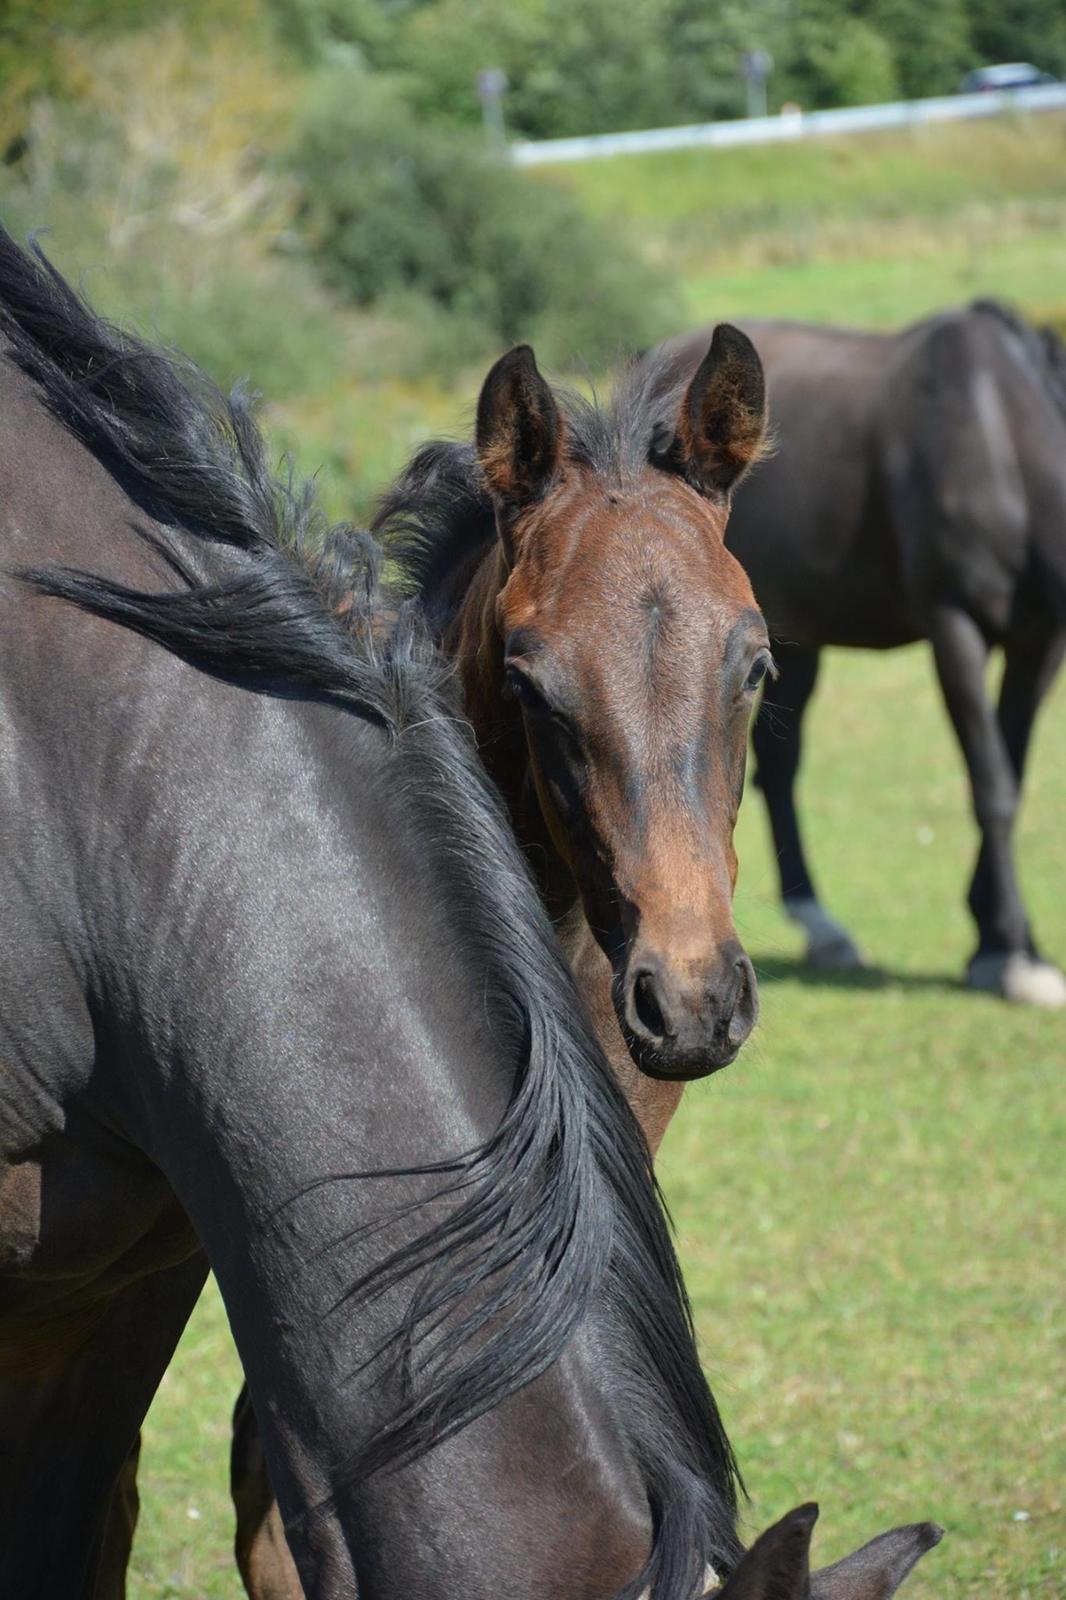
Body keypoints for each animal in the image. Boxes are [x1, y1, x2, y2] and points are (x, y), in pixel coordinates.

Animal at [646, 302, 1062, 998]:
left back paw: (822, 928)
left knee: (779, 764)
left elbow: (1012, 771)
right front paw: (1009, 956)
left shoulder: (1038, 641)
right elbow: (993, 787)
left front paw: (1003, 938)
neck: (1001, 438)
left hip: (794, 636)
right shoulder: (955, 628)